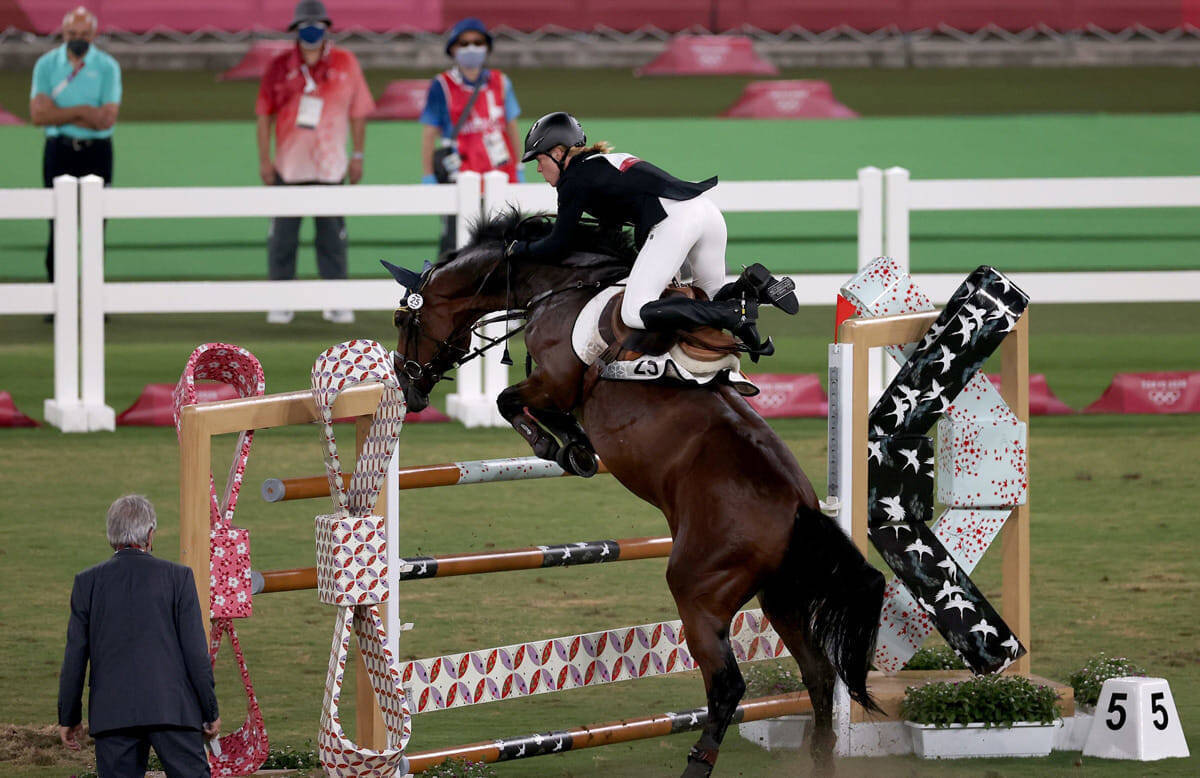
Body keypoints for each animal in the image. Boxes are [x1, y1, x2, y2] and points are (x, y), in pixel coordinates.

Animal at [388, 210, 888, 773]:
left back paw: (698, 763)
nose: (408, 388)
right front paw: (574, 446)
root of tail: (800, 509)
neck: (557, 288)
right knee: (819, 673)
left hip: (699, 593)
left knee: (727, 685)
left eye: (404, 321)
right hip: (781, 597)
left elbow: (509, 400)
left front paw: (562, 446)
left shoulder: (554, 382)